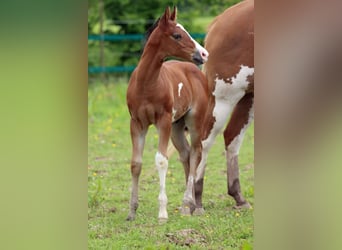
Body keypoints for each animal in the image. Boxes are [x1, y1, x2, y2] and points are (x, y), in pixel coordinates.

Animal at [127, 5, 210, 222]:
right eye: (177, 35)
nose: (204, 53)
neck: (146, 83)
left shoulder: (162, 121)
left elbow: (161, 160)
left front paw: (162, 212)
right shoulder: (136, 123)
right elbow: (136, 163)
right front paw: (132, 211)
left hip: (195, 121)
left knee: (196, 153)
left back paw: (191, 203)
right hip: (176, 127)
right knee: (186, 154)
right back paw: (188, 205)